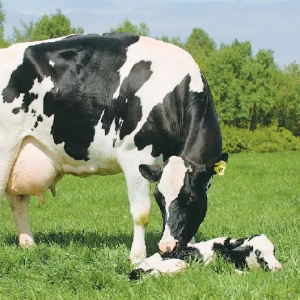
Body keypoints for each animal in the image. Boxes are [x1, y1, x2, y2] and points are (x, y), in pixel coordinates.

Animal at [0, 31, 226, 264]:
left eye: (191, 197)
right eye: (158, 197)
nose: (167, 246)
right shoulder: (135, 156)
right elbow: (142, 213)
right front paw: (137, 256)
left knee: (17, 200)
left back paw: (28, 244)